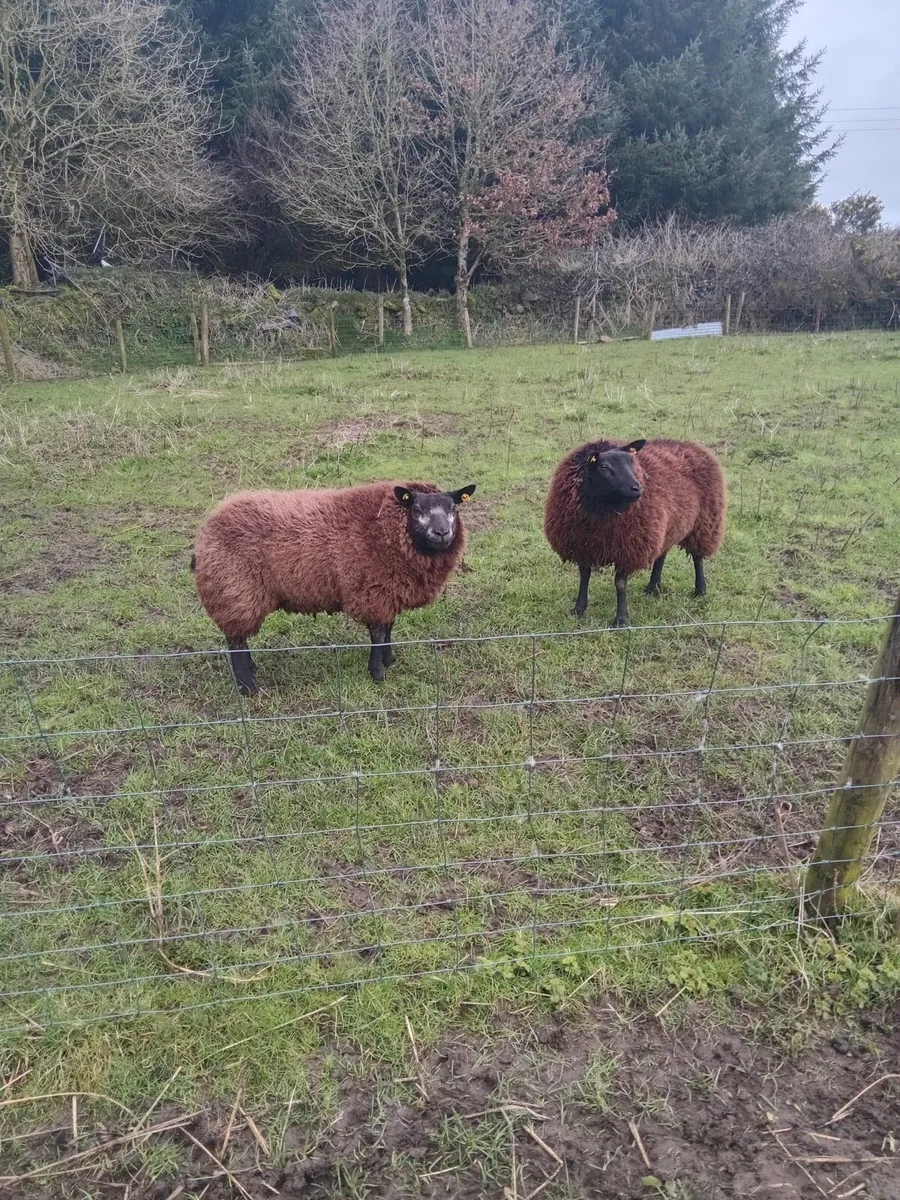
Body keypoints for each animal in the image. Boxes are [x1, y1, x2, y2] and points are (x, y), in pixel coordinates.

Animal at [191, 479, 476, 694]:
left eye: (454, 507)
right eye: (416, 509)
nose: (441, 533)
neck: (387, 531)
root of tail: (205, 532)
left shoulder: (388, 591)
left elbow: (389, 628)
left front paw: (389, 660)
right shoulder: (373, 592)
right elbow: (378, 634)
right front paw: (377, 673)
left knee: (239, 641)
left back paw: (251, 671)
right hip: (235, 592)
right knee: (236, 643)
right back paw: (248, 688)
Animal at [544, 437, 726, 627]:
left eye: (632, 462)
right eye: (604, 467)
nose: (637, 488)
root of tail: (692, 444)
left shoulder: (628, 549)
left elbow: (620, 583)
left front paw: (621, 619)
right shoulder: (582, 546)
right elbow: (584, 577)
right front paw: (578, 610)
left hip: (705, 522)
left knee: (698, 558)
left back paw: (700, 590)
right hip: (668, 525)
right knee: (662, 554)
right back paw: (654, 587)